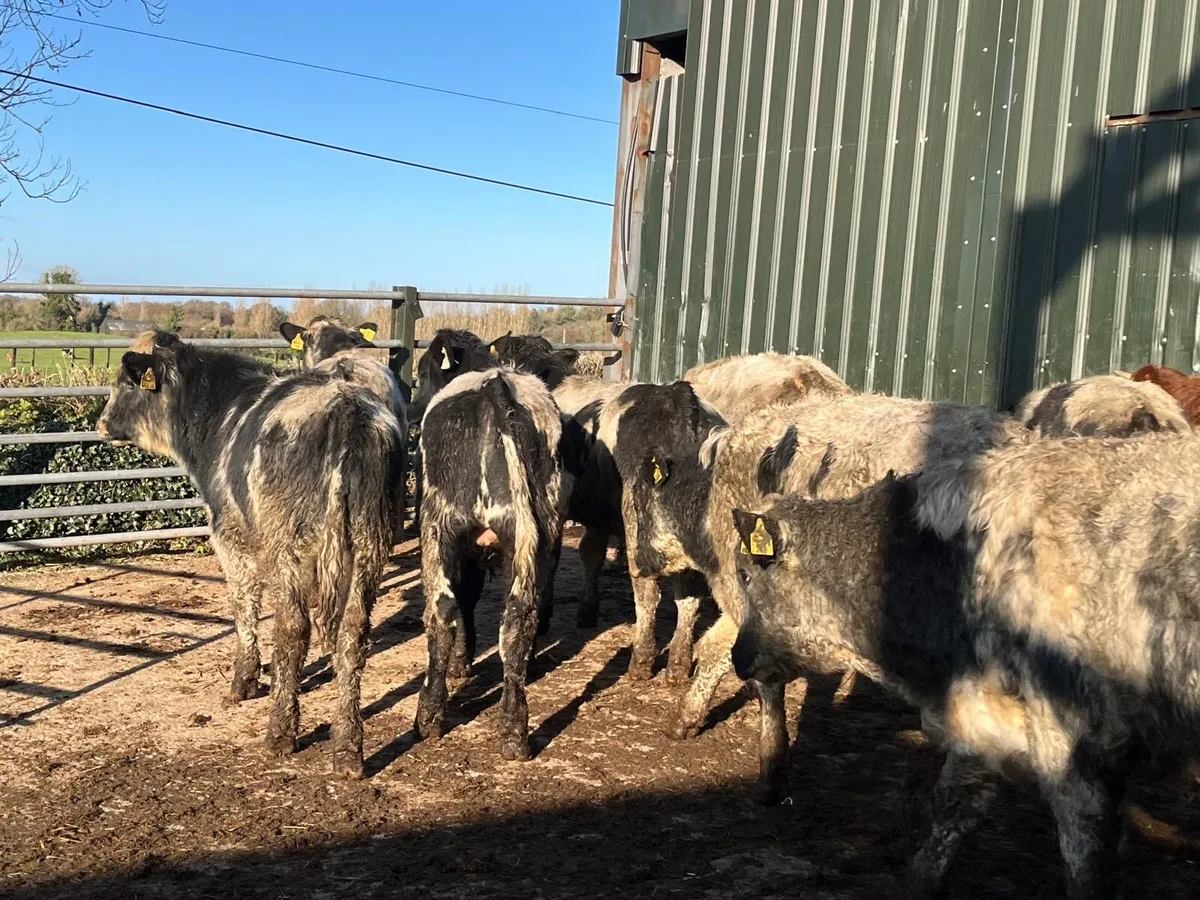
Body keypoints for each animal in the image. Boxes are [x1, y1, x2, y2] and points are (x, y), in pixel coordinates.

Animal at [96, 331, 404, 778]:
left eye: (125, 382)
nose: (102, 423)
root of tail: (348, 410)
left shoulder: (229, 534)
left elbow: (244, 607)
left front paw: (245, 679)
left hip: (292, 548)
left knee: (292, 630)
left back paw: (280, 733)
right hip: (368, 547)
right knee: (352, 635)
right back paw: (348, 748)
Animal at [730, 429, 1200, 899]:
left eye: (745, 575)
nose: (739, 658)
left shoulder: (1073, 739)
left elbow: (1086, 863)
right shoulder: (986, 710)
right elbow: (956, 805)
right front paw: (920, 880)